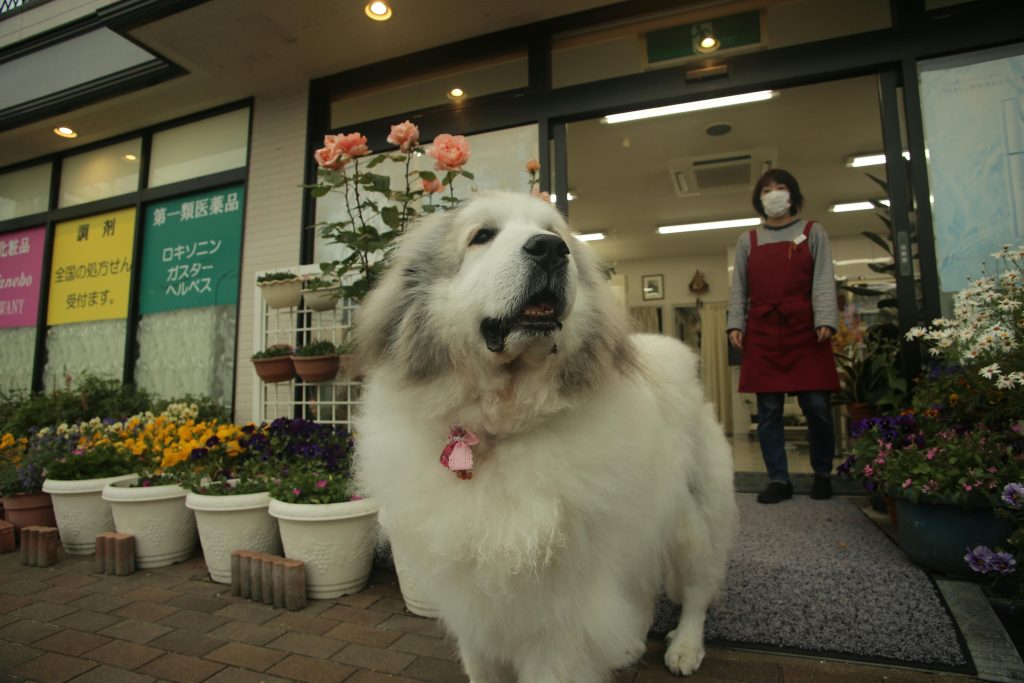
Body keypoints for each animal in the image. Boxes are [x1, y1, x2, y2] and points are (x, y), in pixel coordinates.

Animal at [352, 192, 737, 683]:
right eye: (482, 236)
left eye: (555, 232)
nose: (551, 249)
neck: (499, 430)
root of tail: (673, 352)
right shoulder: (474, 608)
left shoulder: (562, 622)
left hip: (695, 521)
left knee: (697, 592)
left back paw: (686, 648)